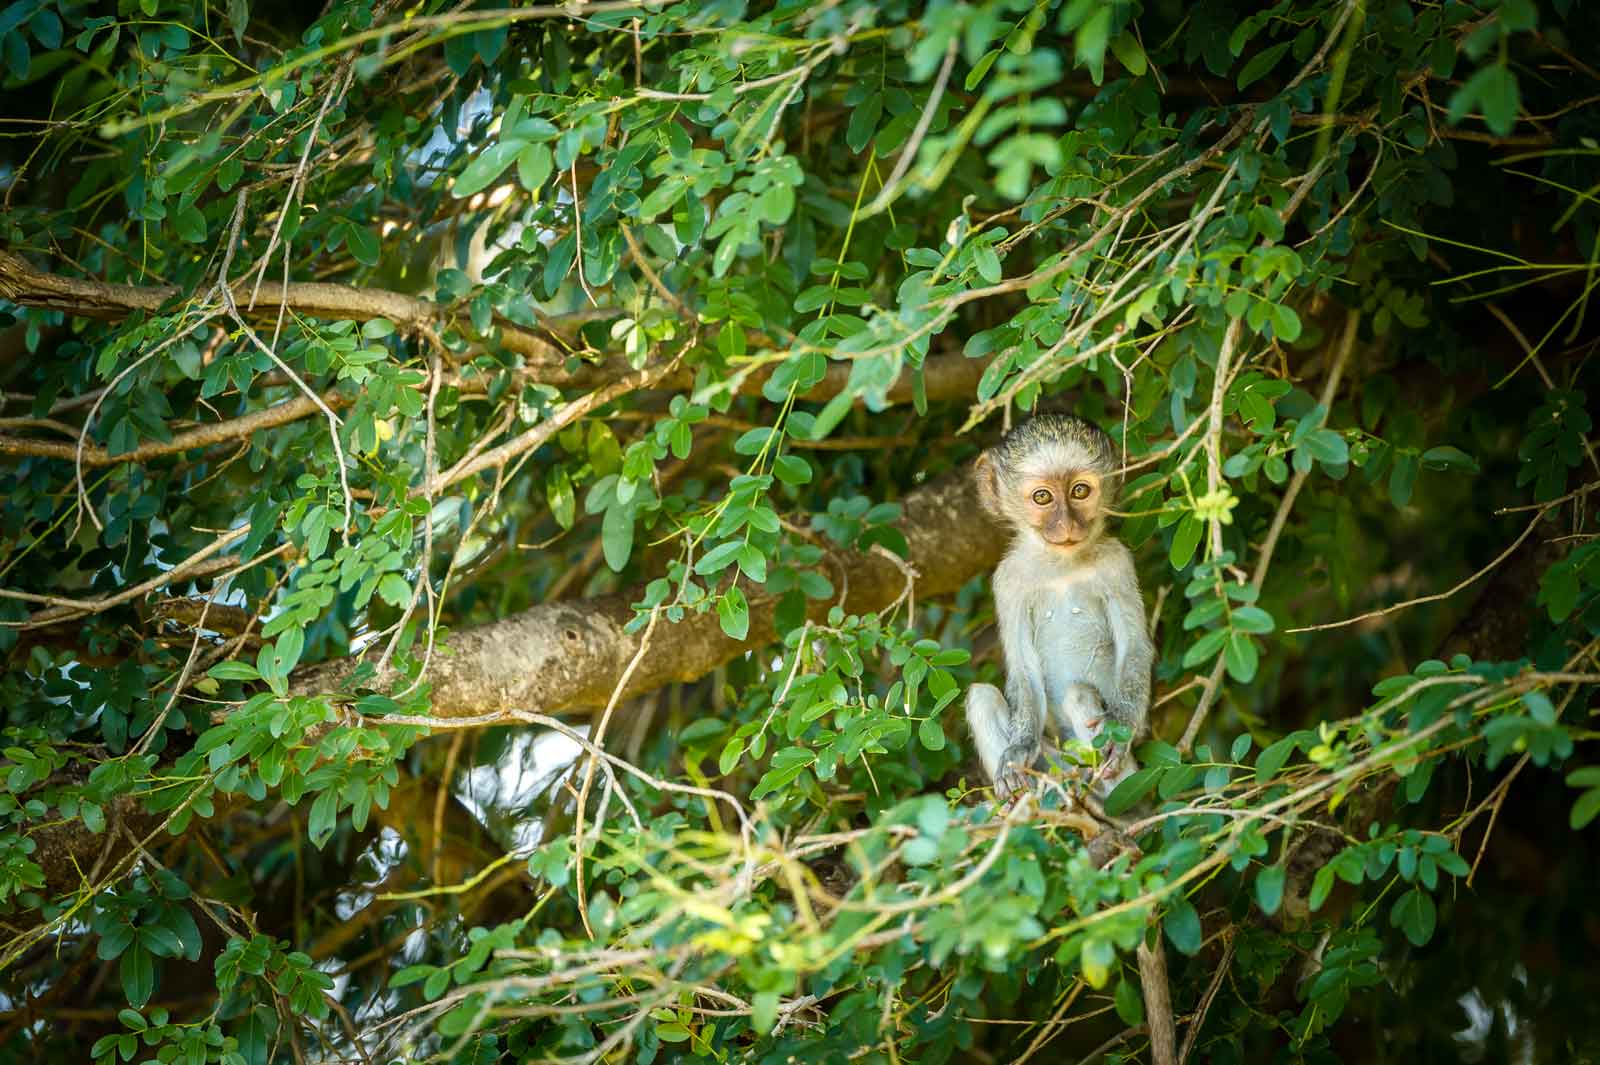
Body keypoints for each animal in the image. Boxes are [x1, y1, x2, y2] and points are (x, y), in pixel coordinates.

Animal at [965, 413, 1154, 800]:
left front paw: (1121, 729)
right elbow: (1023, 670)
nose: (1067, 524)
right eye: (1043, 497)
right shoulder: (1008, 582)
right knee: (981, 696)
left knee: (1078, 693)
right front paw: (1019, 749)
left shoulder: (1117, 563)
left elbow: (1136, 647)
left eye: (1079, 491)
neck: (1061, 567)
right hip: (1057, 761)